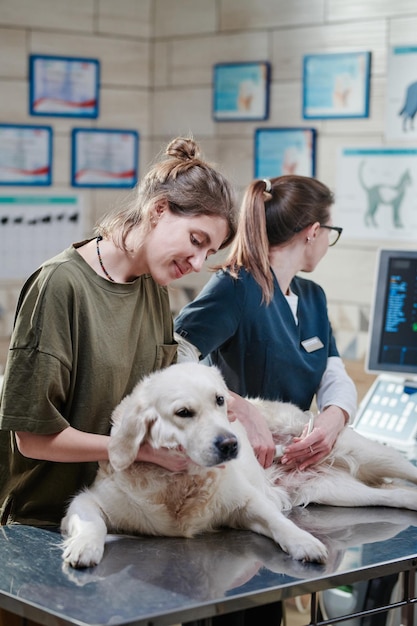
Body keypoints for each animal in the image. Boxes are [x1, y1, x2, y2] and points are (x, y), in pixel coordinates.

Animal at [60, 360, 416, 564]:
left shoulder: (248, 502)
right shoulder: (88, 500)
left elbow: (280, 523)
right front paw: (84, 548)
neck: (181, 485)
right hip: (341, 491)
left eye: (220, 400)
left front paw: (305, 543)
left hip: (370, 454)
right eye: (183, 412)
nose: (231, 444)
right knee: (394, 494)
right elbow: (92, 522)